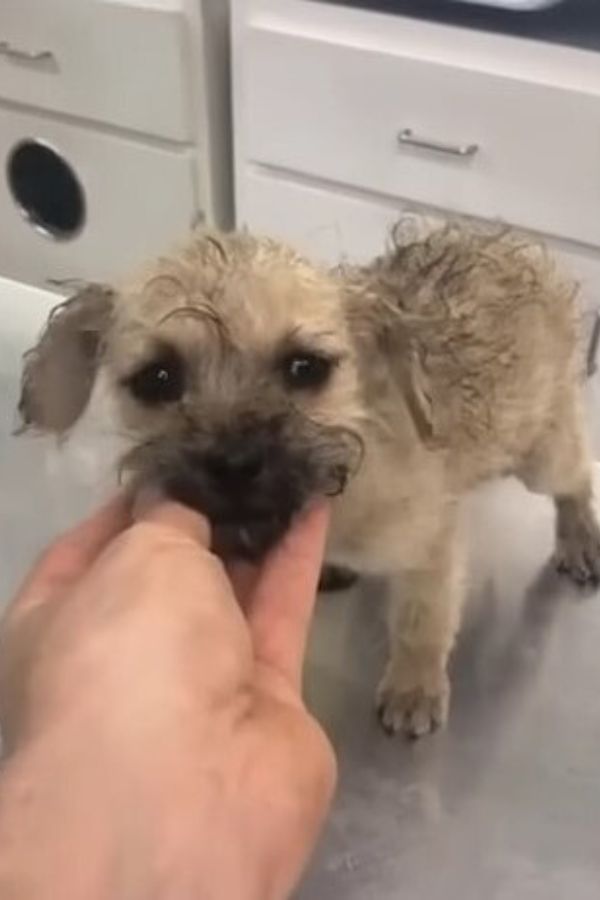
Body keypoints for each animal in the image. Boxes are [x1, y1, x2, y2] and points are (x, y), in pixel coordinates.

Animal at [18, 221, 600, 736]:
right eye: (157, 378)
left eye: (305, 367)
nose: (234, 463)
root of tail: (519, 248)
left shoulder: (430, 544)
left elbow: (423, 617)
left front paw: (415, 686)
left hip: (540, 453)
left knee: (578, 475)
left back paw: (581, 538)